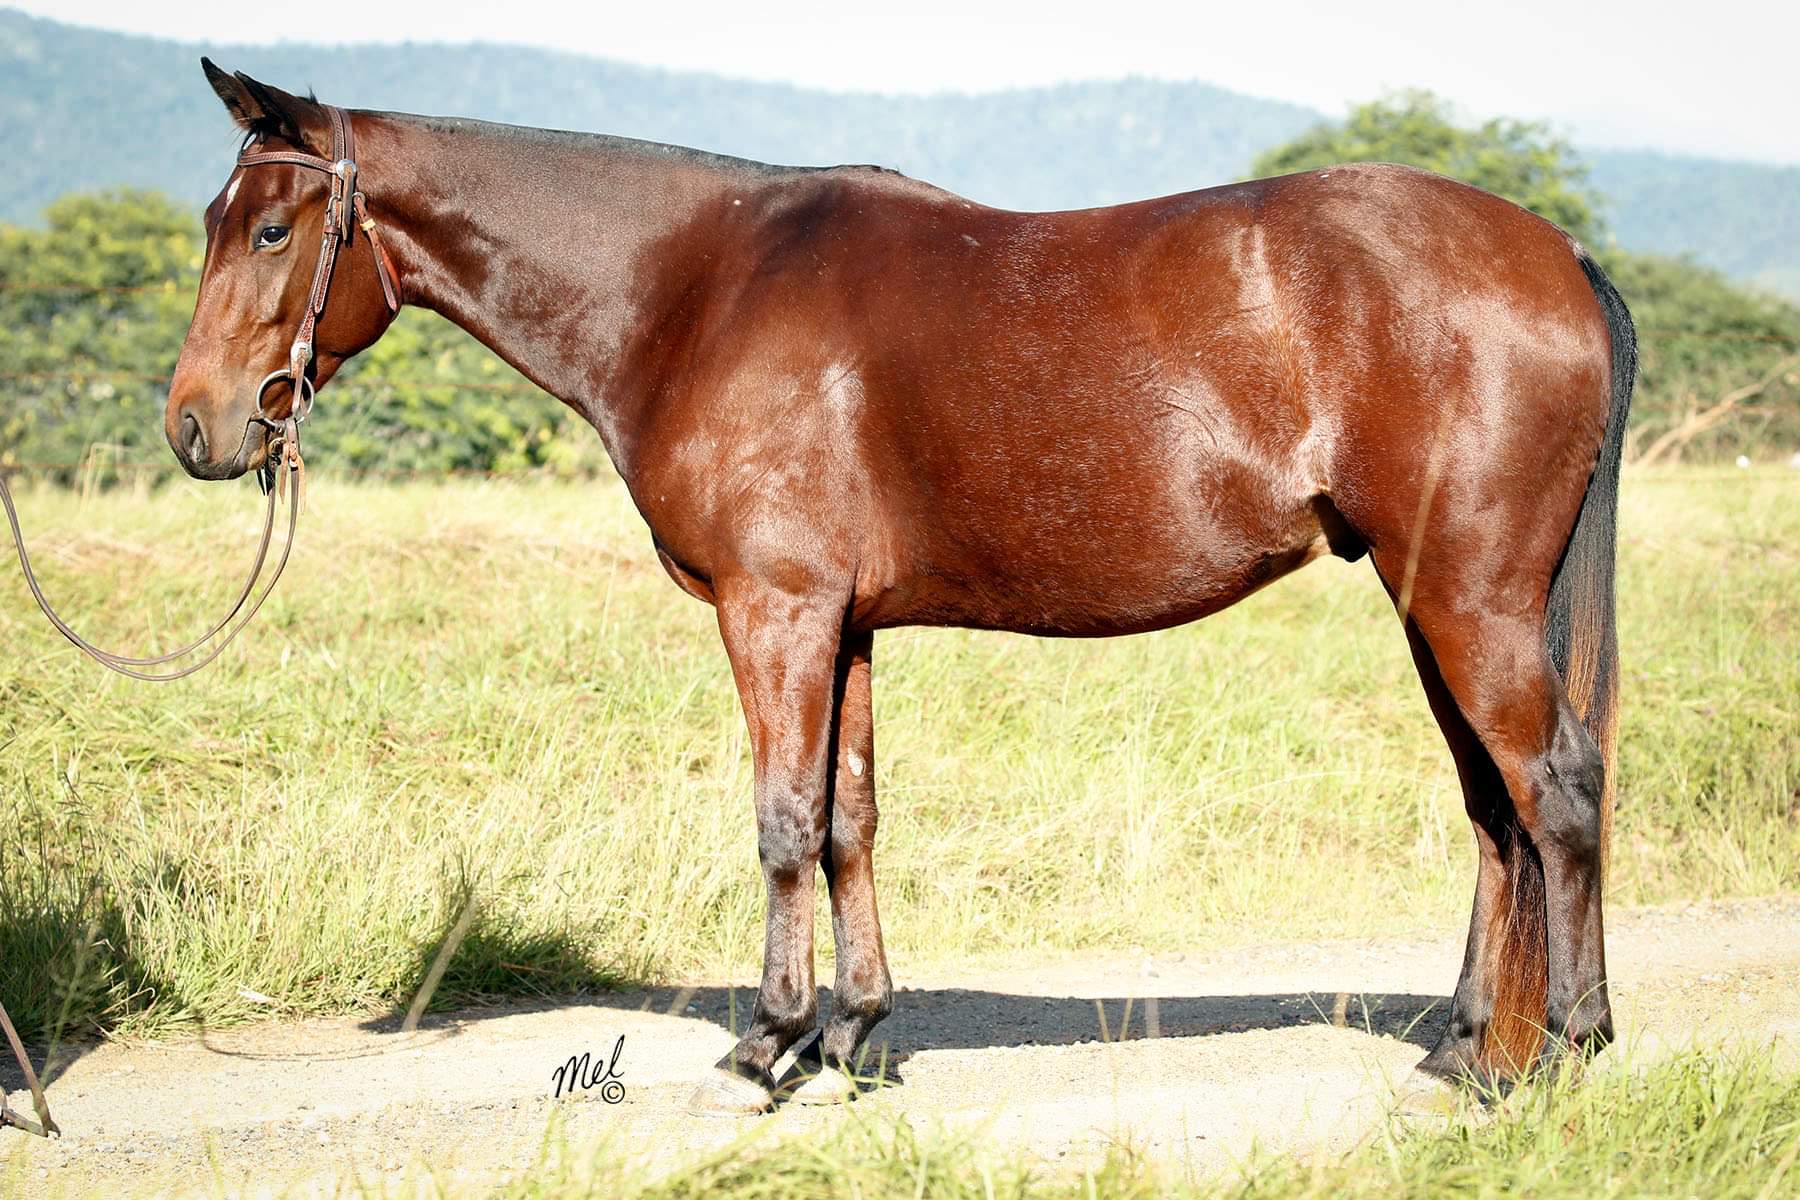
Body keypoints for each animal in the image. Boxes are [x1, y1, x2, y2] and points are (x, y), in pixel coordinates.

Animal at [169, 59, 1634, 1114]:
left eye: (273, 227)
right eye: (220, 222)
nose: (195, 428)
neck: (695, 290)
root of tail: (1556, 254)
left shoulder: (775, 611)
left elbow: (781, 822)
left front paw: (764, 1046)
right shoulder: (848, 625)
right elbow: (849, 822)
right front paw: (856, 1037)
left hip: (1470, 602)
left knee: (1554, 792)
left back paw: (1569, 1046)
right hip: (1432, 601)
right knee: (1496, 810)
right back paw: (1471, 1053)